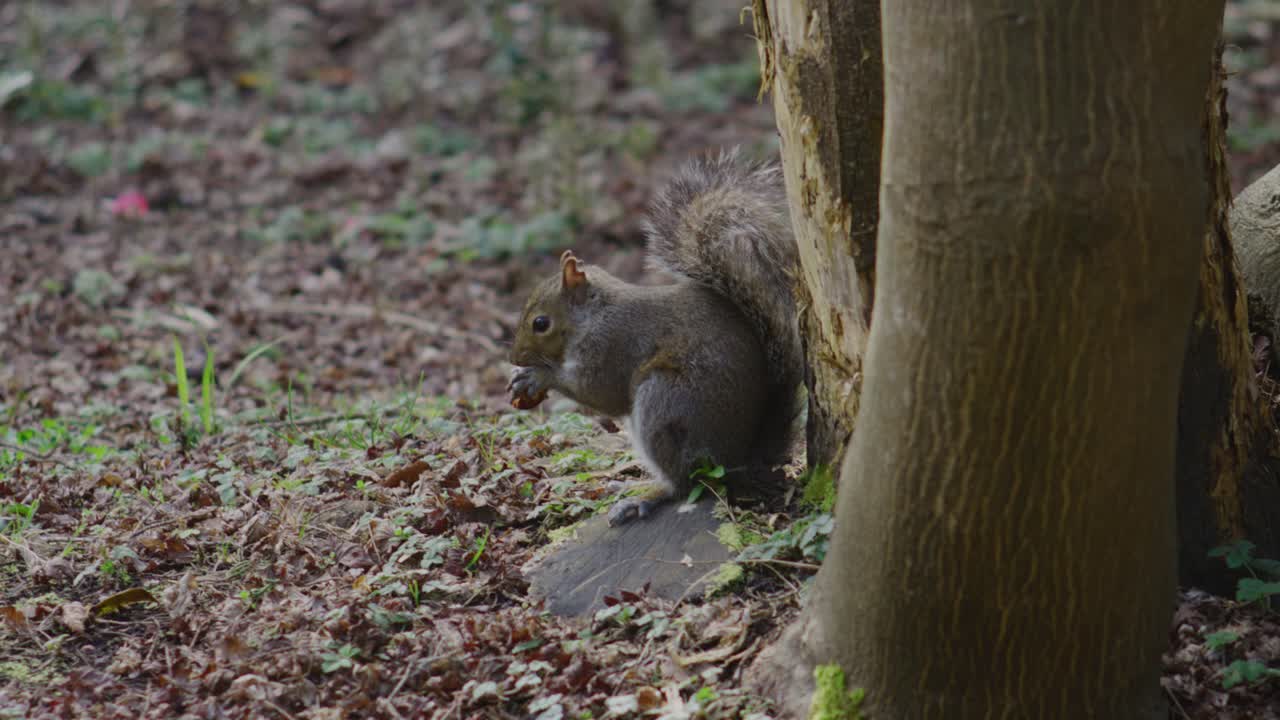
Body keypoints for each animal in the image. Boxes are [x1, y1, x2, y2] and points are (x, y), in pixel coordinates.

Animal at [507, 150, 803, 526]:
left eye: (541, 323)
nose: (515, 357)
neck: (593, 314)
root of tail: (742, 456)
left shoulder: (612, 344)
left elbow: (601, 392)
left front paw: (537, 376)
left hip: (665, 405)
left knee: (685, 483)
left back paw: (643, 496)